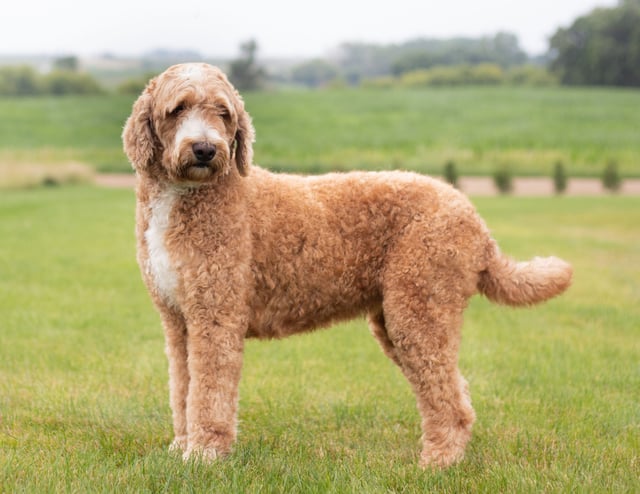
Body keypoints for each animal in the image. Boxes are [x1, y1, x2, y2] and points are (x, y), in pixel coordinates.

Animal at [122, 61, 572, 466]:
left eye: (223, 112)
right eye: (178, 109)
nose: (205, 149)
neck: (189, 196)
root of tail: (476, 220)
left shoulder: (215, 314)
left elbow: (209, 392)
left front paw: (204, 455)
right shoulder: (178, 319)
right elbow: (183, 388)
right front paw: (181, 447)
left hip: (419, 310)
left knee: (448, 398)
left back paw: (438, 462)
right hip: (402, 317)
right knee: (455, 390)